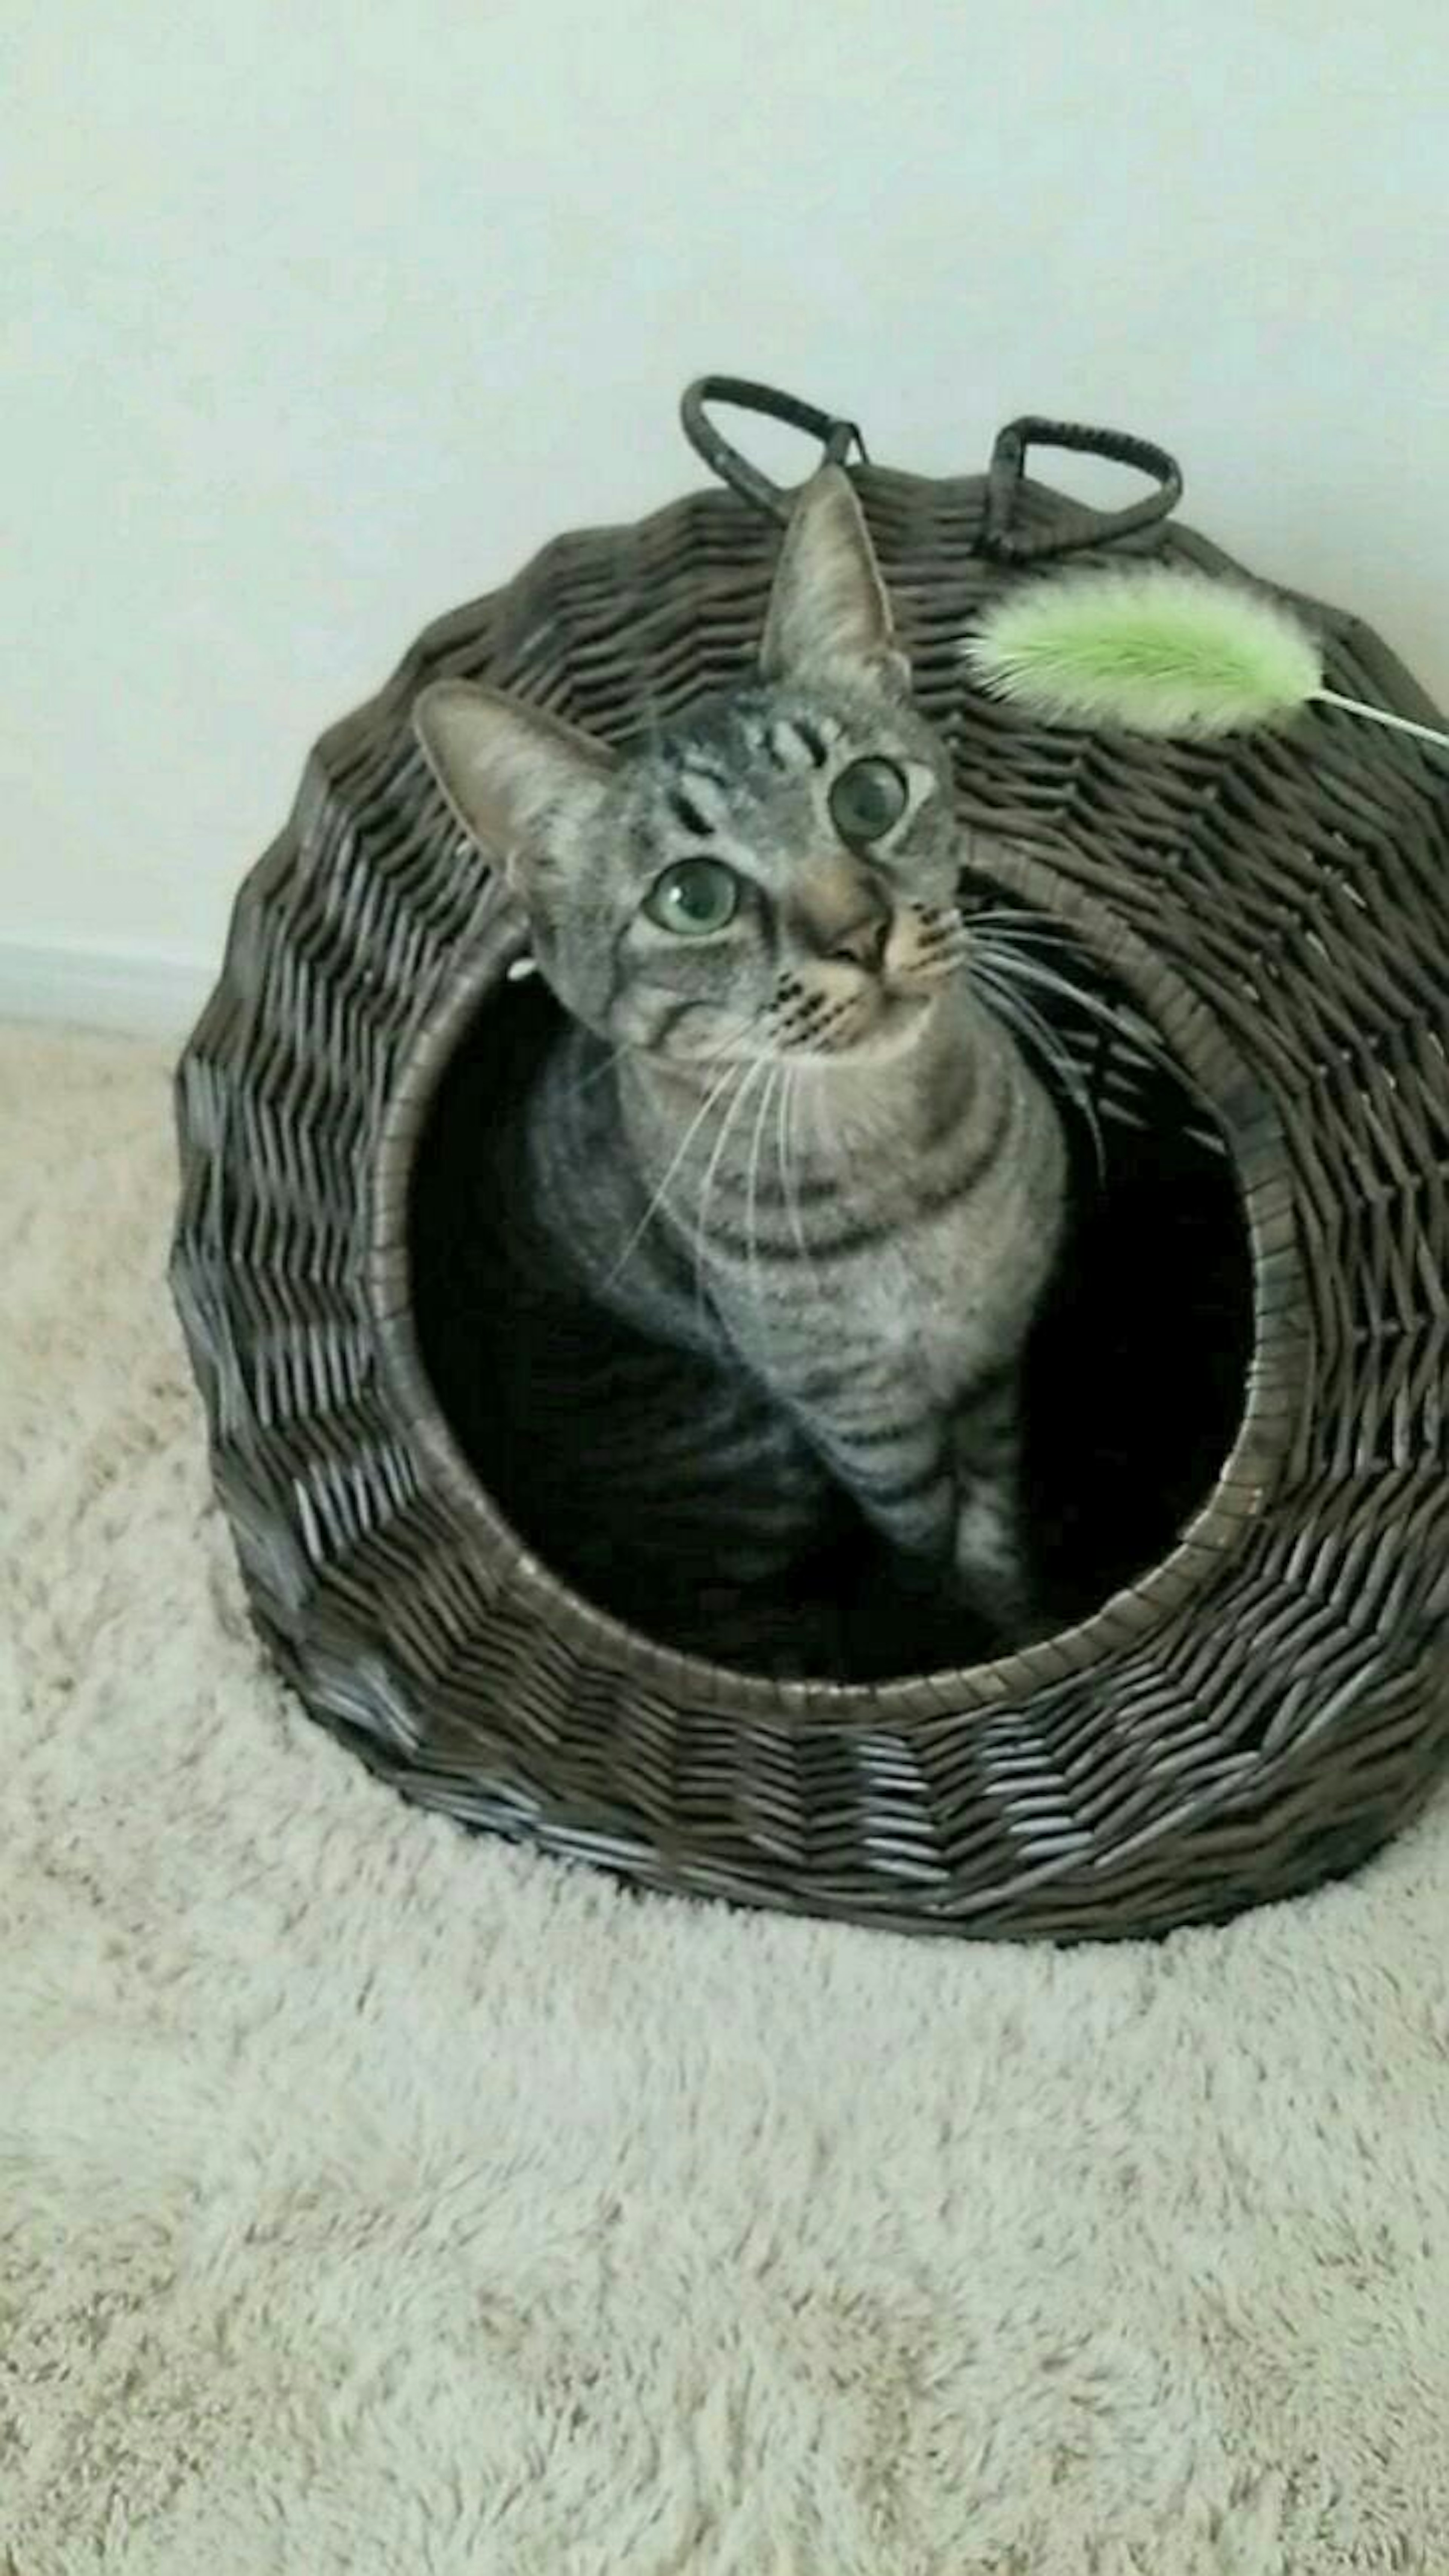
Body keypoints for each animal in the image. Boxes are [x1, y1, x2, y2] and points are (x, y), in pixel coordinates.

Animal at [412, 463, 1067, 1669]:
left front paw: (1016, 1623)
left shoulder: (997, 1360)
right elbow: (925, 1533)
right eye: (695, 896)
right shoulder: (855, 1420)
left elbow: (995, 1522)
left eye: (868, 796)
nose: (859, 933)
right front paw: (954, 1631)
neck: (904, 1178)